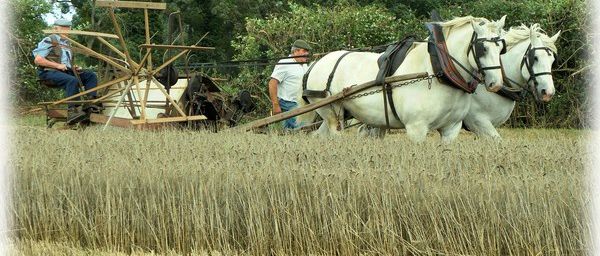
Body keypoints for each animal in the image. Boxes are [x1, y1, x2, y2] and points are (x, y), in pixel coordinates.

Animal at [304, 16, 506, 142]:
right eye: (483, 48)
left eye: (501, 48)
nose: (496, 84)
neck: (436, 71)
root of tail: (316, 63)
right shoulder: (416, 128)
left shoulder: (451, 129)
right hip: (331, 112)